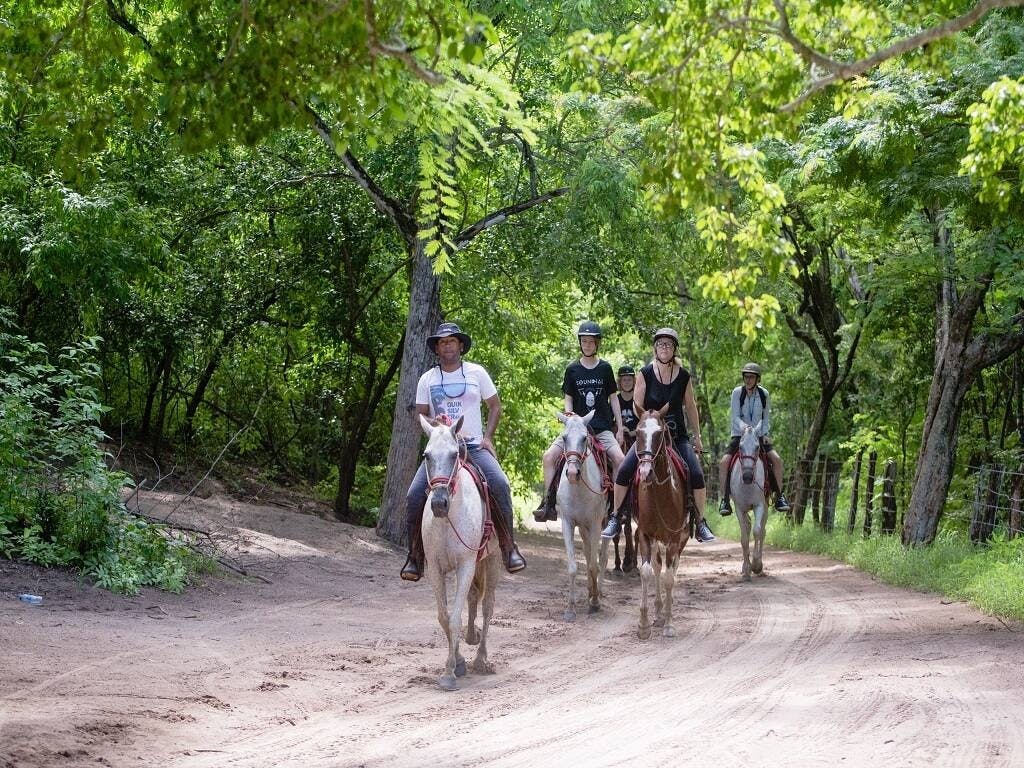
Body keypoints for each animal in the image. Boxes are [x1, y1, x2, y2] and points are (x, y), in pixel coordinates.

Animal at [417, 415, 501, 692]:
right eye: (426, 455)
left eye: (455, 455)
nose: (439, 503)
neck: (448, 519)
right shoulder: (436, 568)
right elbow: (445, 617)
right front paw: (457, 662)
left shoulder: (465, 565)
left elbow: (454, 618)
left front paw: (449, 674)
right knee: (474, 597)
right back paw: (472, 639)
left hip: (492, 560)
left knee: (487, 606)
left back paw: (481, 659)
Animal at [552, 411, 606, 622]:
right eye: (564, 438)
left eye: (584, 438)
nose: (573, 473)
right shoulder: (568, 523)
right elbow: (574, 567)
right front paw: (570, 609)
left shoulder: (596, 524)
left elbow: (593, 565)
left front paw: (595, 602)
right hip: (583, 528)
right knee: (589, 552)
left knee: (601, 558)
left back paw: (597, 593)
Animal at [630, 411, 688, 638]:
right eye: (638, 432)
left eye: (660, 433)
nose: (645, 471)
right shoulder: (645, 535)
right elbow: (646, 571)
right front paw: (643, 624)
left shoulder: (674, 538)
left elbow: (669, 578)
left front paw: (669, 625)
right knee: (656, 566)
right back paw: (658, 611)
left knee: (671, 567)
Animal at [729, 421, 770, 581]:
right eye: (740, 446)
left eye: (757, 447)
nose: (747, 476)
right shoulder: (739, 508)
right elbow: (744, 538)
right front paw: (746, 569)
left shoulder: (759, 505)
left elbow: (757, 532)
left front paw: (756, 565)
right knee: (747, 527)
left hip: (765, 506)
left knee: (762, 531)